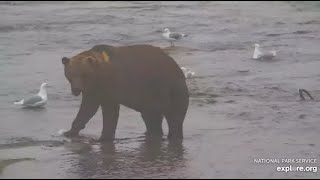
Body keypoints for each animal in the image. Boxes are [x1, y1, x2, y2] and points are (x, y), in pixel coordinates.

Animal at [61, 44, 189, 141]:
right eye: (70, 74)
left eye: (84, 74)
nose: (76, 89)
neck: (98, 76)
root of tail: (177, 67)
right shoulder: (93, 90)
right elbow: (87, 109)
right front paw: (69, 132)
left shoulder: (110, 85)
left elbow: (108, 110)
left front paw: (104, 137)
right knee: (162, 116)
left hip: (158, 87)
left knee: (162, 116)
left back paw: (157, 135)